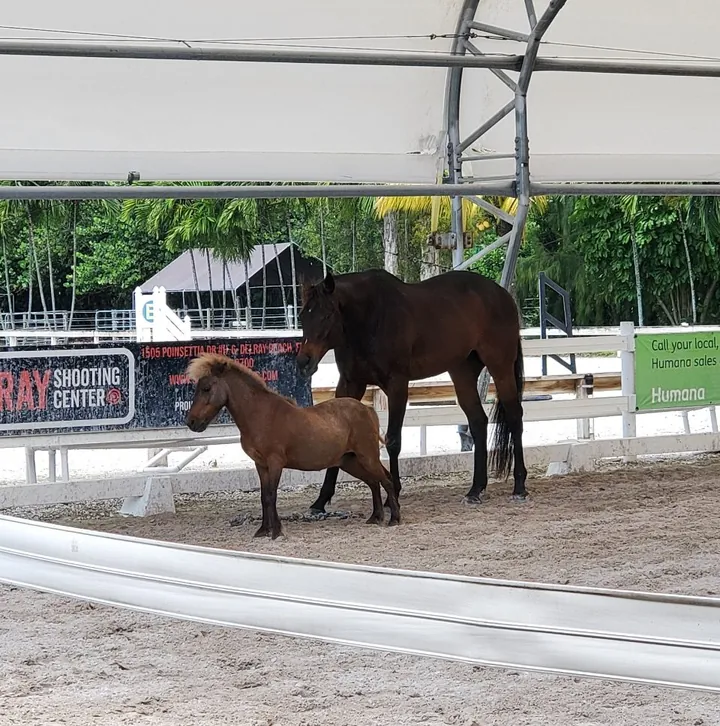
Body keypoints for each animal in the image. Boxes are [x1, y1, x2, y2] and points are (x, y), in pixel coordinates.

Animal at [184, 353, 400, 539]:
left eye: (206, 388)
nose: (191, 422)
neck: (261, 415)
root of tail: (367, 409)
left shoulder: (275, 463)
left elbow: (271, 496)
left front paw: (276, 531)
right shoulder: (261, 465)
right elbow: (264, 497)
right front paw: (263, 530)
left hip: (367, 457)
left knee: (386, 481)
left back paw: (394, 519)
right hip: (350, 461)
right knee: (374, 482)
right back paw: (375, 518)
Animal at [295, 268, 526, 516]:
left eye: (327, 314)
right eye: (302, 316)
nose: (304, 362)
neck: (369, 317)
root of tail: (502, 295)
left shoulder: (397, 385)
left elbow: (393, 440)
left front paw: (393, 495)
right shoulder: (350, 384)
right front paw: (320, 501)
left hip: (500, 368)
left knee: (514, 417)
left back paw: (519, 487)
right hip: (462, 374)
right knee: (478, 422)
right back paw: (475, 489)